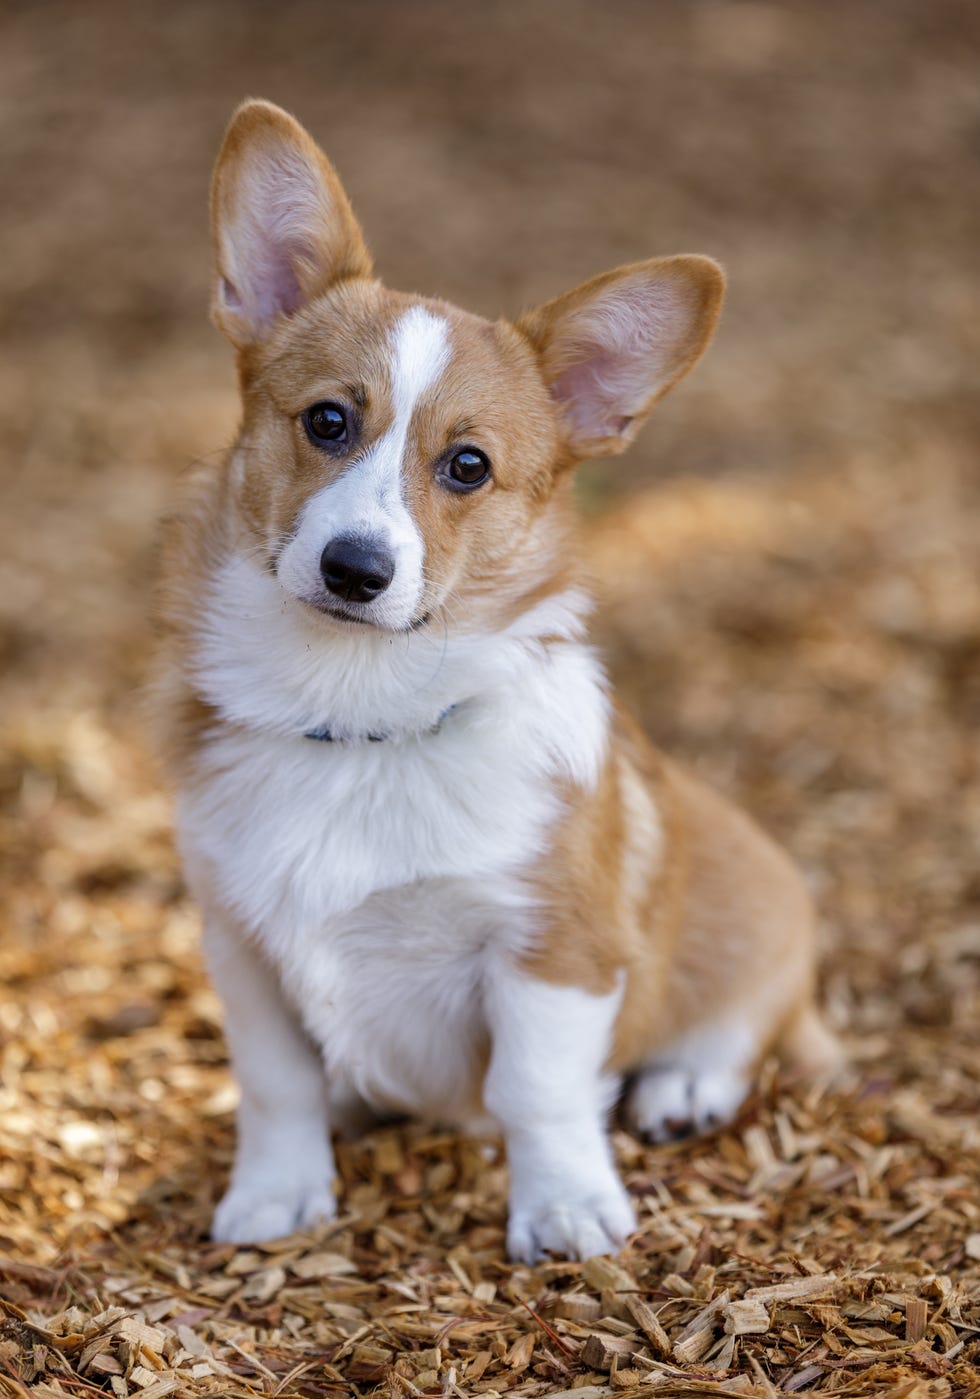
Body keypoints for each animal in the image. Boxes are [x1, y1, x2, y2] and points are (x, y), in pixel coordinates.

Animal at [154, 95, 838, 1259]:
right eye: (327, 419)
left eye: (466, 465)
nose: (356, 569)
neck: (356, 717)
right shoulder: (238, 942)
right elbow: (277, 1083)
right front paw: (276, 1196)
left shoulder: (549, 947)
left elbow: (538, 1090)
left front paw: (563, 1208)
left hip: (759, 918)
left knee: (747, 1024)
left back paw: (684, 1085)